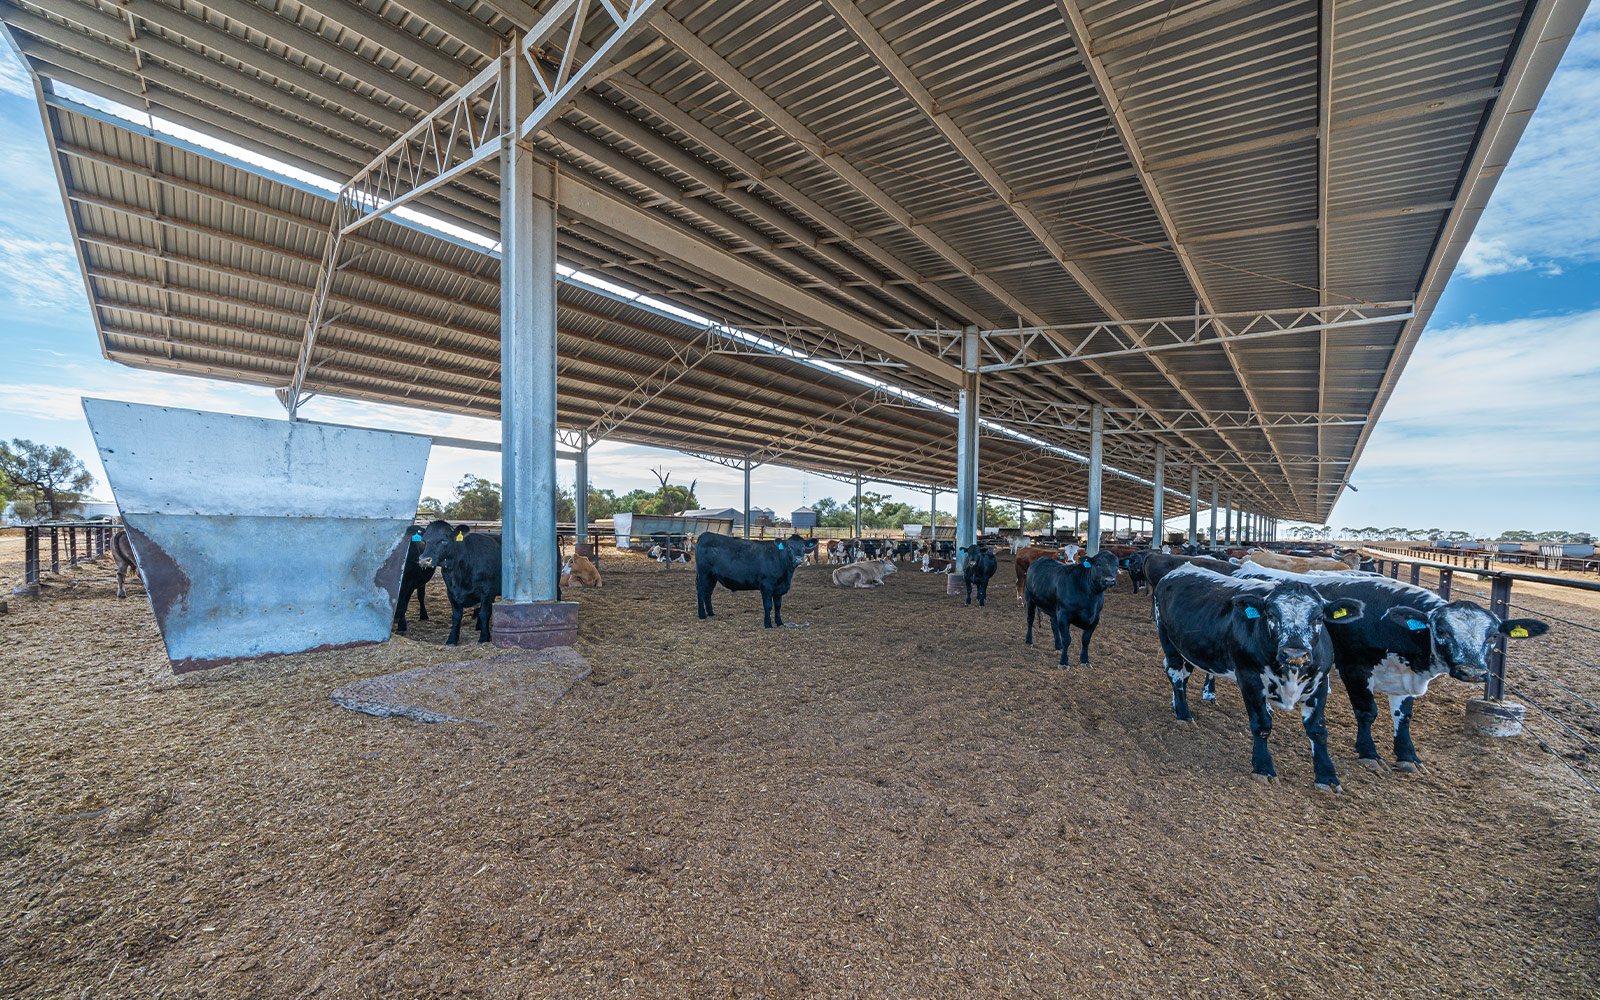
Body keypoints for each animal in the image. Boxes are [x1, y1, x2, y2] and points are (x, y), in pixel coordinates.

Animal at [1152, 563, 1363, 787]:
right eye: (1271, 615)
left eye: (1319, 618)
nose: (1294, 654)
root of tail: (1181, 569)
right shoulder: (1249, 678)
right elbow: (1261, 723)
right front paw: (1263, 767)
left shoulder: (1320, 682)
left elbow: (1318, 729)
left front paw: (1327, 776)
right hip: (1168, 640)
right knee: (1176, 675)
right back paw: (1184, 714)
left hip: (1188, 649)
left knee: (1184, 675)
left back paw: (1176, 706)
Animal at [1235, 566, 1548, 768]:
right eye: (1442, 631)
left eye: (1493, 636)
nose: (1472, 671)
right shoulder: (1355, 669)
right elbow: (1367, 712)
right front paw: (1368, 753)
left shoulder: (1406, 677)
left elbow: (1403, 717)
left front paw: (1407, 755)